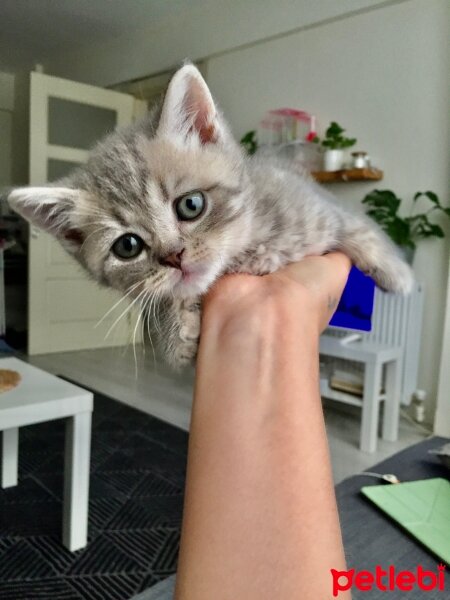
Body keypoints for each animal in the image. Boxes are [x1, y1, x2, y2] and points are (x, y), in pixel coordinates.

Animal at [8, 63, 414, 368]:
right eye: (127, 246)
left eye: (191, 205)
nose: (174, 256)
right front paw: (177, 328)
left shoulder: (323, 207)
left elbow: (363, 230)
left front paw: (399, 275)